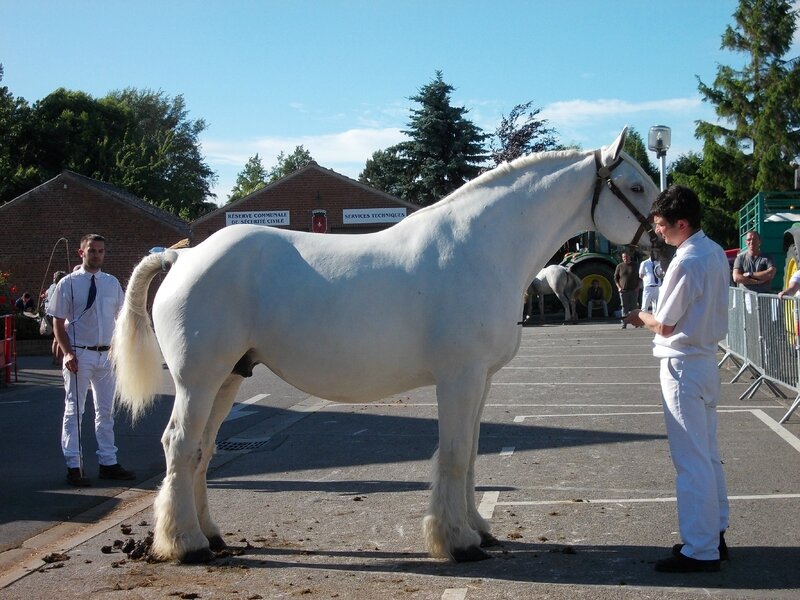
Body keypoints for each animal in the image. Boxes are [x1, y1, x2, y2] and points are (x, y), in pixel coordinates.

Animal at [112, 126, 660, 564]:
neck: (480, 248)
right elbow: (454, 453)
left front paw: (478, 530)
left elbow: (472, 453)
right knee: (180, 445)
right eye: (635, 186)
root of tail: (181, 258)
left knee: (201, 451)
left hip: (228, 378)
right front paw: (457, 541)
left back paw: (209, 535)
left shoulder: (480, 379)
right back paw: (186, 545)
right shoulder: (459, 377)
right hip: (198, 380)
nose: (664, 236)